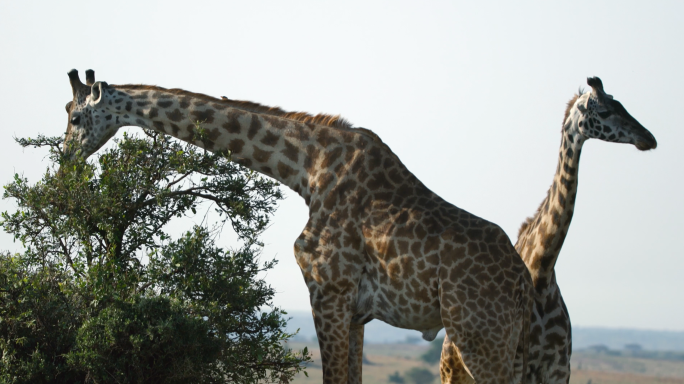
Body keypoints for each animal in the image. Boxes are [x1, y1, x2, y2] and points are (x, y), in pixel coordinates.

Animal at [61, 70, 536, 384]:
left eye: (74, 117)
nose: (64, 161)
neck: (307, 170)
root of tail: (524, 283)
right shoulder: (357, 310)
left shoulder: (328, 290)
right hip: (510, 346)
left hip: (479, 337)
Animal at [438, 76, 656, 382]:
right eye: (604, 112)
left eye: (622, 104)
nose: (648, 138)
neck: (541, 271)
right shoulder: (517, 367)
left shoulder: (559, 367)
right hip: (454, 372)